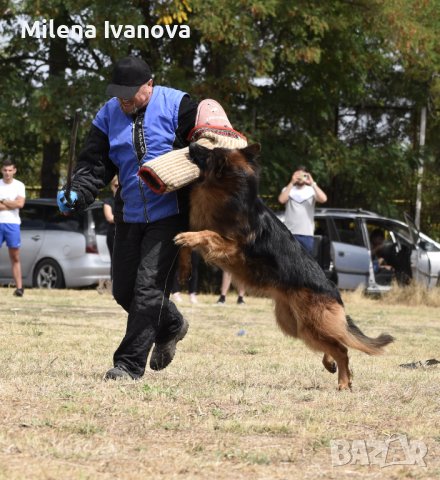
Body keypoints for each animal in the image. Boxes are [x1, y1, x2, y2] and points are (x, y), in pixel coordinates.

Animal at [175, 143, 396, 390]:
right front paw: (184, 267)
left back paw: (343, 382)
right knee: (336, 342)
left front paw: (188, 239)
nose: (191, 143)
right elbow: (187, 245)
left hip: (310, 325)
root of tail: (334, 291)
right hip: (295, 325)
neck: (228, 190)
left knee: (342, 347)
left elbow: (208, 234)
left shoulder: (232, 247)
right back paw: (332, 365)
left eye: (210, 152)